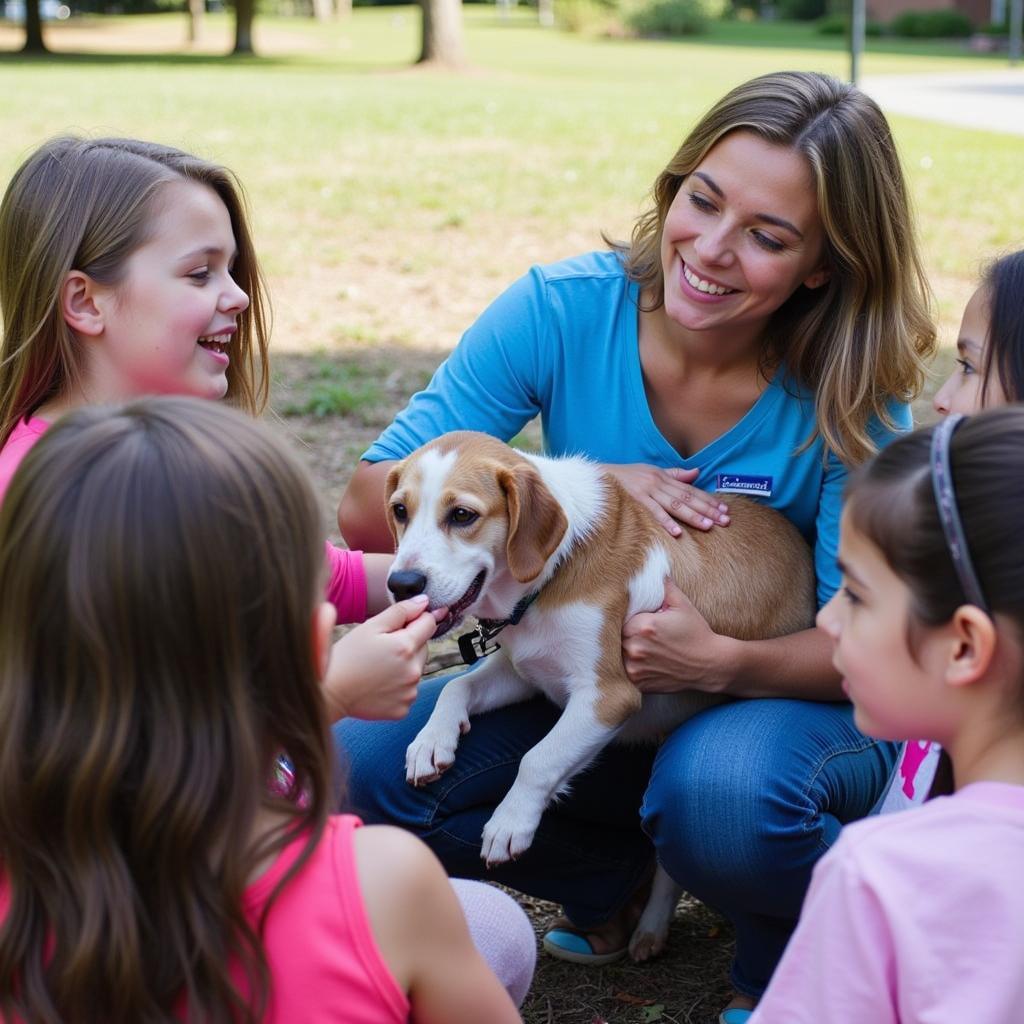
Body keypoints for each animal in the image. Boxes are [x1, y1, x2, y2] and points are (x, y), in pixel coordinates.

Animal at [385, 430, 815, 958]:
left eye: (462, 515)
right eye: (400, 510)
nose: (402, 584)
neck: (555, 569)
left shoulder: (607, 698)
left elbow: (538, 759)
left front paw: (510, 823)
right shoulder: (524, 672)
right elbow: (456, 687)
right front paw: (431, 744)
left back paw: (651, 928)